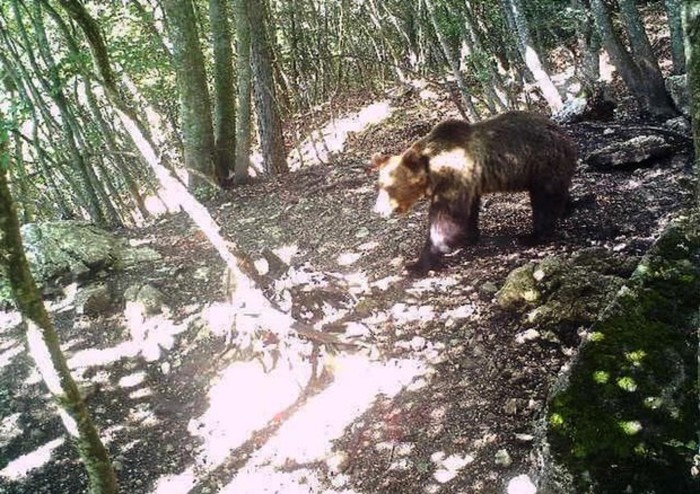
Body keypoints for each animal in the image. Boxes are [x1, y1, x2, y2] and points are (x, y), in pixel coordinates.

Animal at [372, 110, 578, 274]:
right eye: (379, 185)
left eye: (389, 187)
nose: (377, 210)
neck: (433, 171)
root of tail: (562, 132)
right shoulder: (468, 183)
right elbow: (468, 210)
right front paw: (467, 237)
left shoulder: (453, 177)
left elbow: (445, 218)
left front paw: (418, 263)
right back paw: (569, 208)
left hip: (541, 163)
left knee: (545, 200)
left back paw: (532, 236)